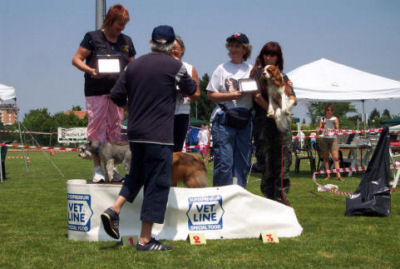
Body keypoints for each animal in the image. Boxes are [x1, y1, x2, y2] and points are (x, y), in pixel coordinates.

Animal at [79, 141, 208, 187]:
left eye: (82, 149)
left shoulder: (110, 161)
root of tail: (200, 160)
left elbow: (109, 170)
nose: (79, 154)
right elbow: (107, 171)